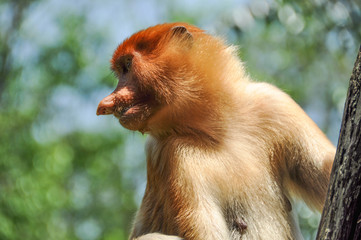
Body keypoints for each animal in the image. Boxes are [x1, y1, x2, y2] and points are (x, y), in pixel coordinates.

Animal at [96, 23, 334, 240]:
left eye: (127, 66)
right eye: (121, 69)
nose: (108, 100)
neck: (222, 132)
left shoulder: (274, 104)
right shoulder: (173, 153)